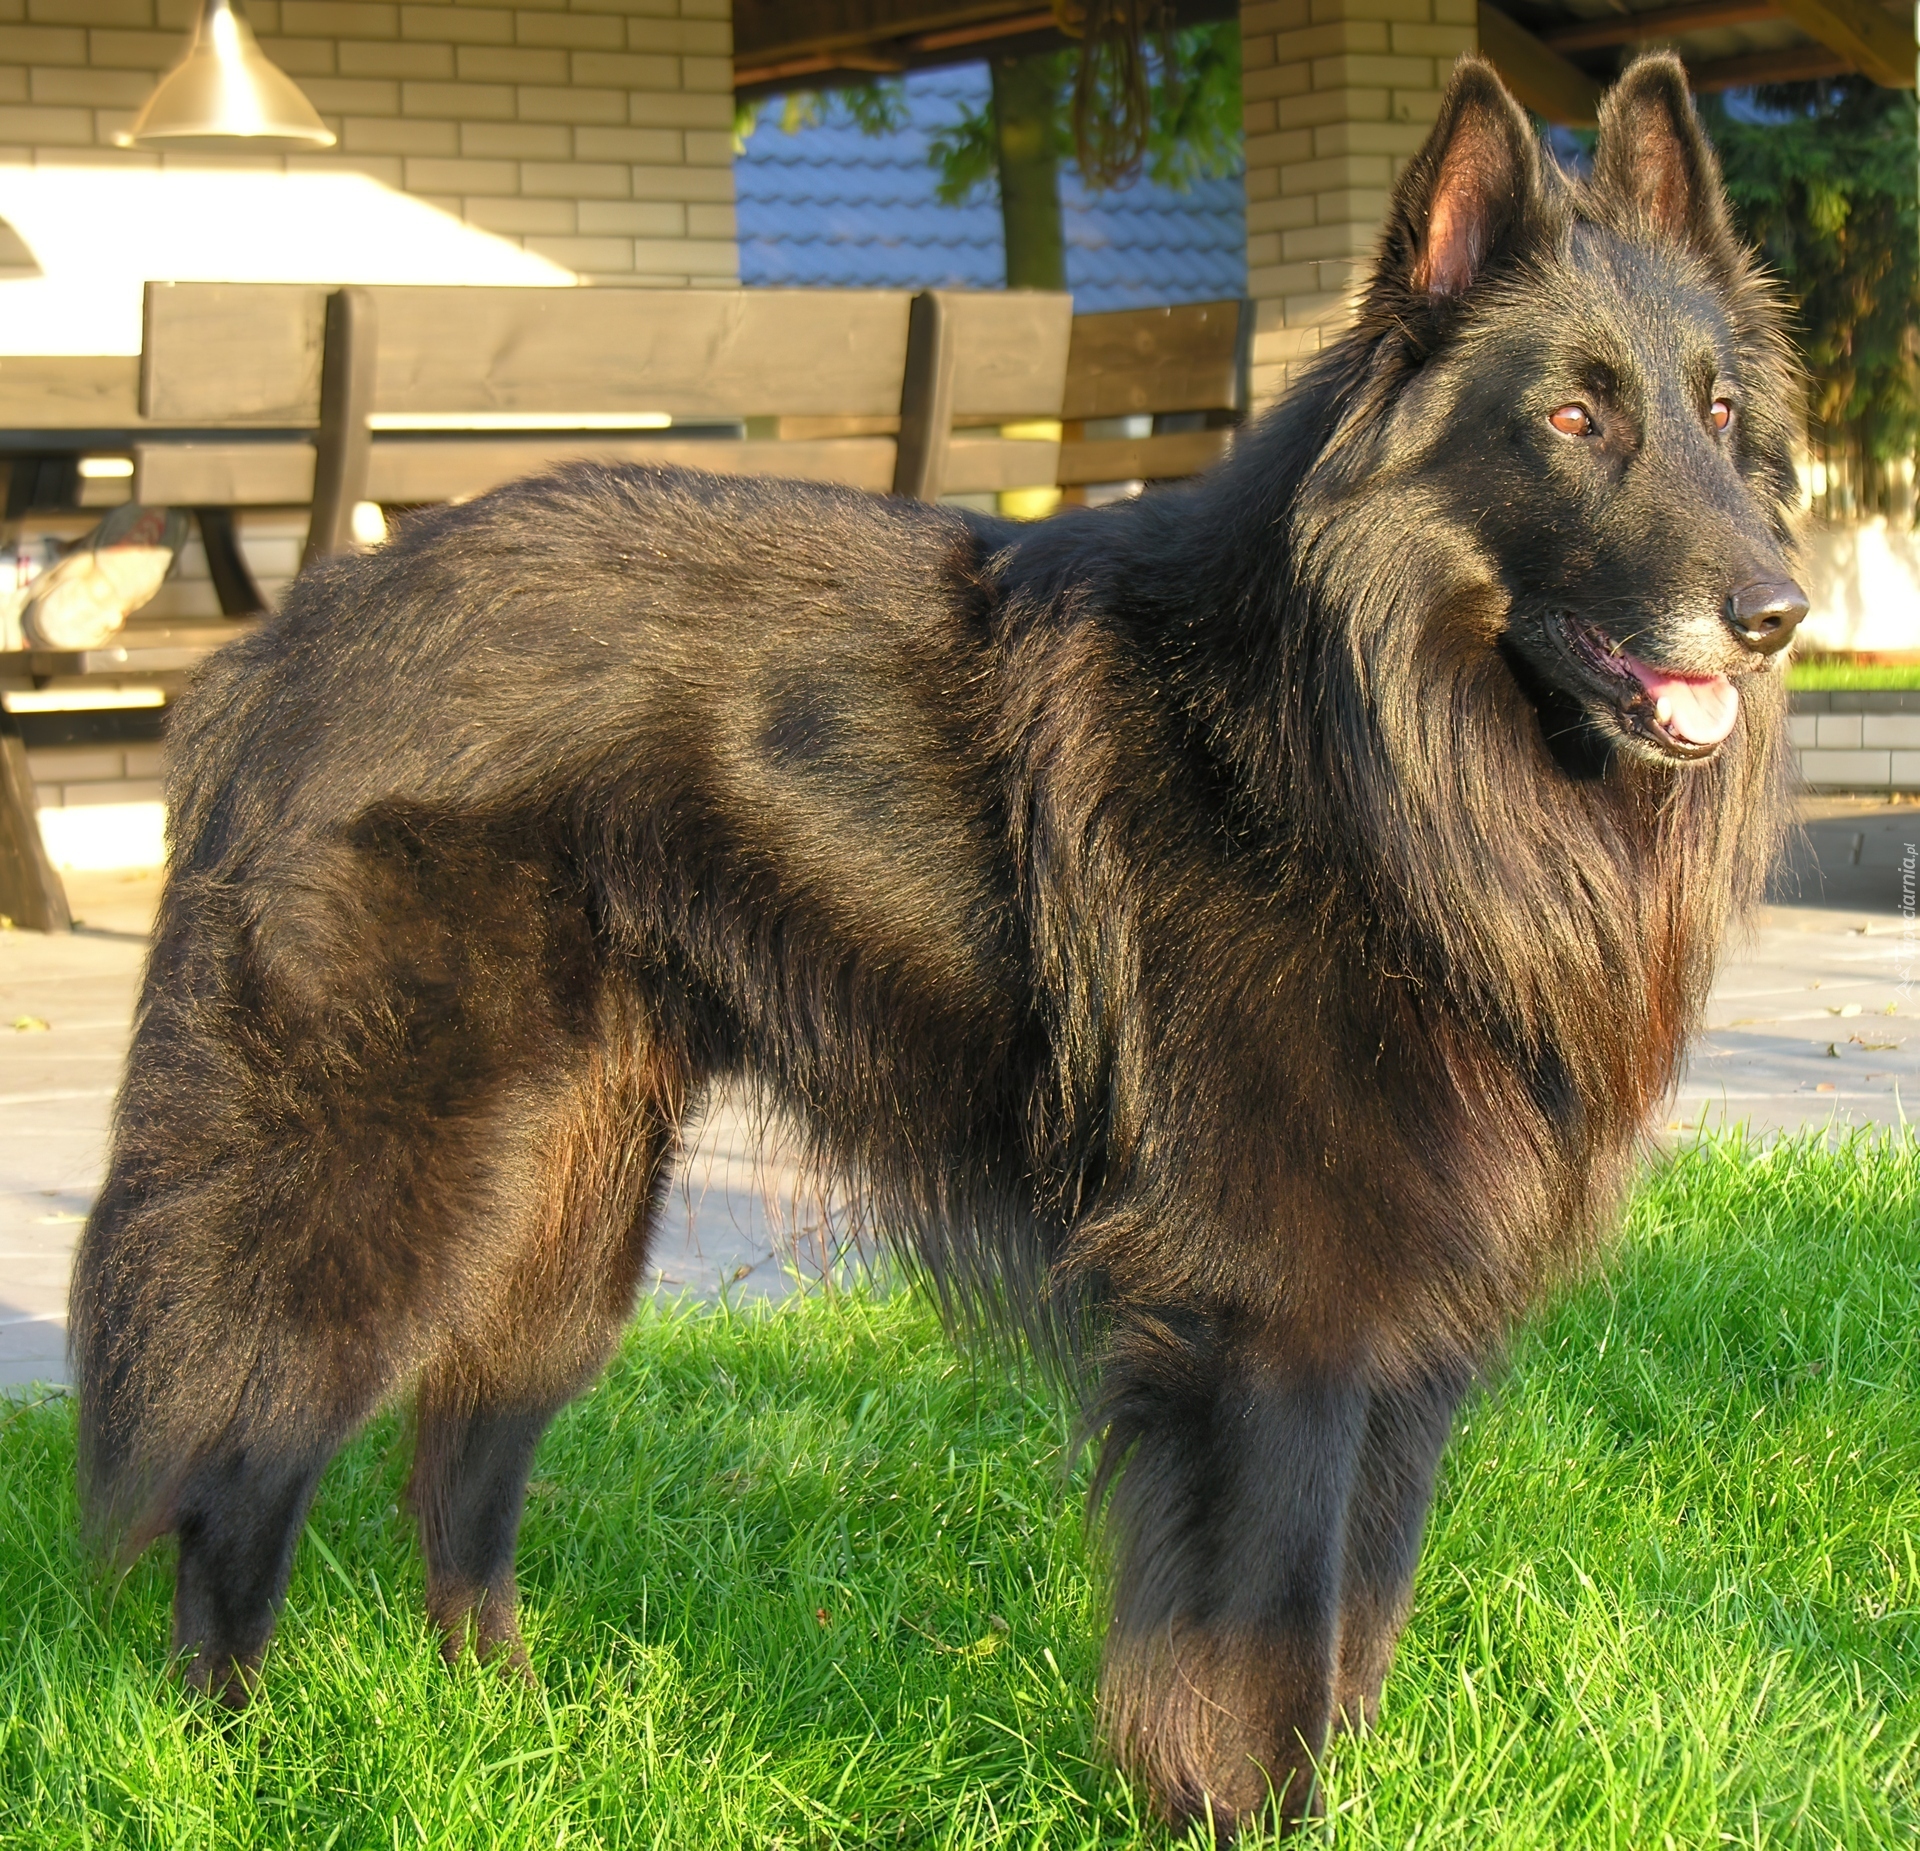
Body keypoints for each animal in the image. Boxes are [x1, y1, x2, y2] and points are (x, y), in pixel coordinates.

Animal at [74, 54, 1804, 1835]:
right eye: (1573, 420)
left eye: (1718, 415)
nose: (1777, 612)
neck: (1357, 746)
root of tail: (291, 633)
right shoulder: (1277, 1324)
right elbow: (1265, 1656)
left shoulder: (1401, 1331)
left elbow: (1354, 1635)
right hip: (378, 1176)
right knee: (239, 1470)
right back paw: (235, 1757)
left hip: (570, 1198)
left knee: (462, 1461)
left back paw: (513, 1733)